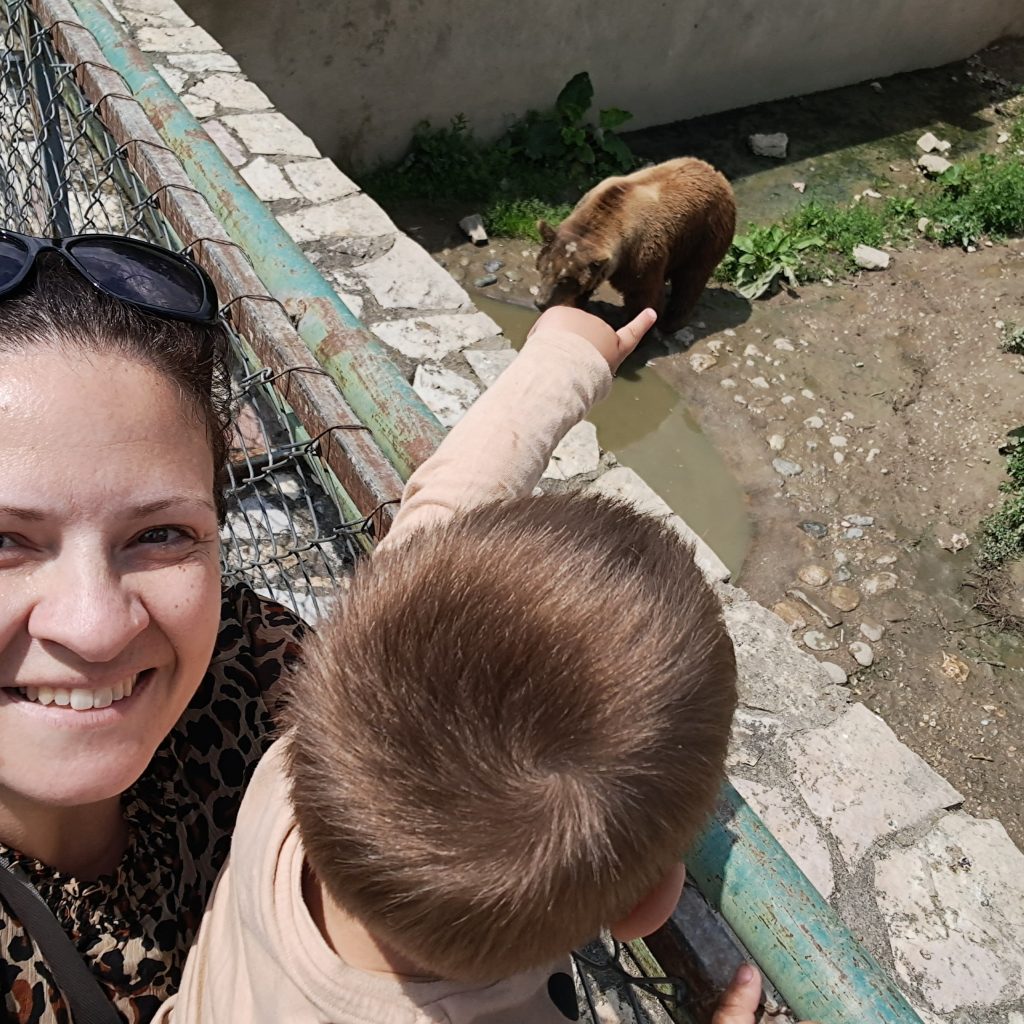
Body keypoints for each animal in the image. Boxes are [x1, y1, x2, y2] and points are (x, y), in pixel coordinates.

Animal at [534, 157, 736, 333]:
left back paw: (672, 321)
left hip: (706, 234)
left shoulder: (639, 258)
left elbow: (644, 296)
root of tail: (716, 174)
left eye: (564, 279)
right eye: (544, 269)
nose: (541, 302)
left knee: (692, 278)